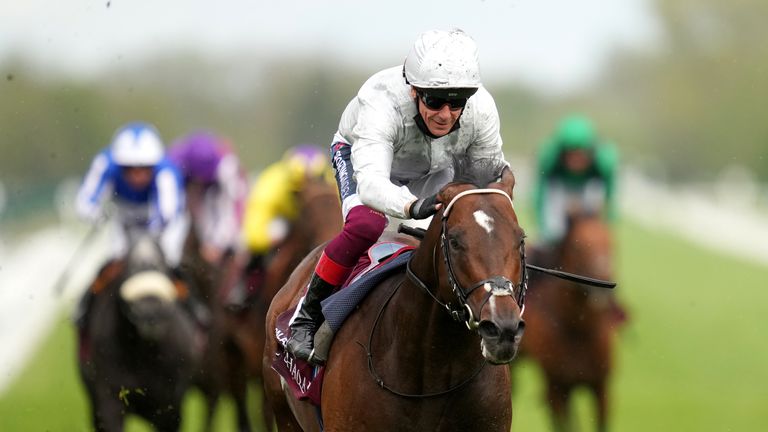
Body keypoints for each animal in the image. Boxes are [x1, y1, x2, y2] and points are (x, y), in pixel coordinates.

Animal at [79, 233, 201, 432]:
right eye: (128, 267)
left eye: (162, 265)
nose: (149, 312)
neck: (143, 355)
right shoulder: (109, 398)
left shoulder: (168, 405)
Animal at [520, 211, 620, 430]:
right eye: (578, 247)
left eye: (612, 243)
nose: (602, 286)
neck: (578, 329)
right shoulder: (558, 387)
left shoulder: (601, 387)